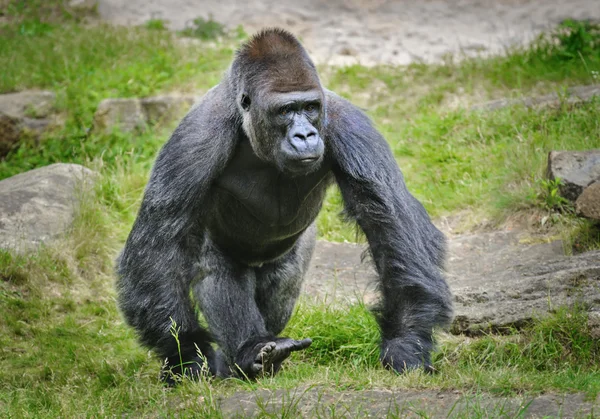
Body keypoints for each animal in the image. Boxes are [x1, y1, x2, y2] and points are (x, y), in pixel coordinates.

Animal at [116, 28, 454, 384]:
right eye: (285, 110)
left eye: (310, 107)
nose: (305, 135)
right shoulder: (194, 140)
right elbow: (159, 247)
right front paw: (186, 355)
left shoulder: (350, 126)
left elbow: (391, 225)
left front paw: (406, 342)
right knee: (217, 270)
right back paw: (250, 352)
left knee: (284, 280)